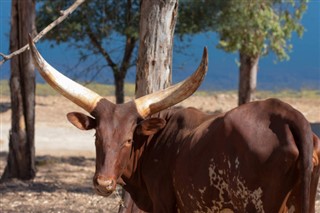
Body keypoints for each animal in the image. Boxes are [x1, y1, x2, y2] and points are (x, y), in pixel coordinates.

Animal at [29, 37, 318, 213]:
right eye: (96, 137)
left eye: (128, 139)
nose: (104, 184)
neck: (154, 144)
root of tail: (288, 115)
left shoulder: (164, 203)